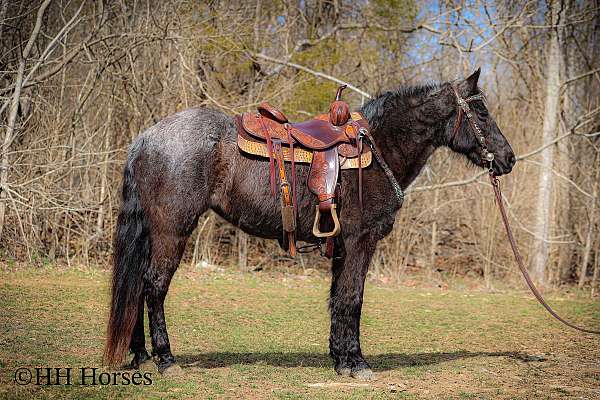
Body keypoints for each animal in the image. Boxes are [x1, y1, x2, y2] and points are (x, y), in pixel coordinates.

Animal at [103, 68, 516, 378]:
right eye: (481, 114)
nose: (508, 159)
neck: (380, 148)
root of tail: (146, 138)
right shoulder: (361, 241)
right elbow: (352, 298)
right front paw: (357, 364)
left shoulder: (343, 245)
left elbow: (338, 298)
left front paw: (340, 360)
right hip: (171, 231)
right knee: (154, 286)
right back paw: (165, 359)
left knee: (138, 285)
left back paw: (141, 357)